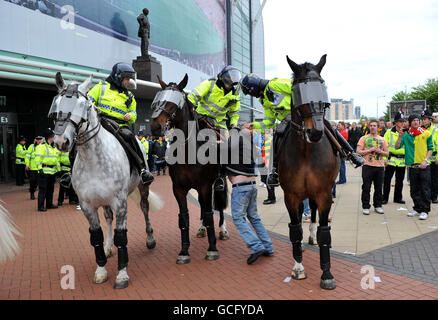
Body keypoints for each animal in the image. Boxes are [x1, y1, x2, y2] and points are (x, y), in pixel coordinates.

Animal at [50, 73, 163, 290]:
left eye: (83, 105)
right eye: (57, 103)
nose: (61, 142)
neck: (93, 160)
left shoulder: (120, 202)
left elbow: (122, 235)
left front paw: (122, 275)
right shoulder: (87, 205)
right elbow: (96, 236)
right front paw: (101, 270)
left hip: (142, 187)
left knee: (144, 208)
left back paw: (150, 239)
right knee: (109, 218)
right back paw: (109, 247)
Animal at [150, 74, 229, 264]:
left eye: (173, 103)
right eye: (157, 99)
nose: (155, 127)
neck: (189, 152)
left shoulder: (206, 186)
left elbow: (209, 213)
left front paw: (212, 249)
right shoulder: (178, 189)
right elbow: (184, 217)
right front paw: (184, 251)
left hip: (219, 183)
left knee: (219, 205)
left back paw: (222, 230)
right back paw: (201, 229)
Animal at [278, 55, 340, 290]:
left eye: (321, 86)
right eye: (298, 90)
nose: (315, 132)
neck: (306, 150)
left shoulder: (323, 194)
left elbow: (324, 232)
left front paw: (327, 274)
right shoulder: (291, 196)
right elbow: (295, 229)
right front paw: (298, 267)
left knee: (312, 212)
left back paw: (312, 236)